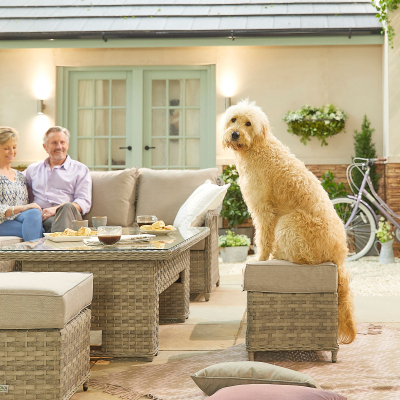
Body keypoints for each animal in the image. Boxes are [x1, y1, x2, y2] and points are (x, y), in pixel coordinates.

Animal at [223, 99, 358, 344]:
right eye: (233, 119)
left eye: (249, 123)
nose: (235, 134)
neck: (258, 148)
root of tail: (340, 256)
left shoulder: (264, 212)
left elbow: (262, 239)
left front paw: (260, 259)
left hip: (288, 222)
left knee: (303, 258)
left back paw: (280, 254)